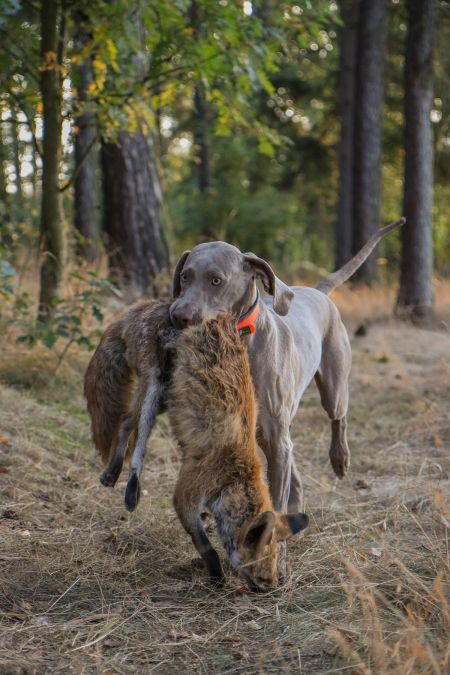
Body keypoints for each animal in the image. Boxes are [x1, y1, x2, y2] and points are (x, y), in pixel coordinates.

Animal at [84, 298, 178, 510]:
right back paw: (130, 487)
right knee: (130, 429)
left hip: (165, 398)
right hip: (154, 387)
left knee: (127, 421)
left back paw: (114, 473)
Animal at [169, 314, 310, 588]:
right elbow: (206, 547)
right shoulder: (186, 495)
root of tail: (223, 320)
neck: (232, 477)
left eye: (274, 564)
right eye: (261, 571)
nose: (270, 588)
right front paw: (217, 578)